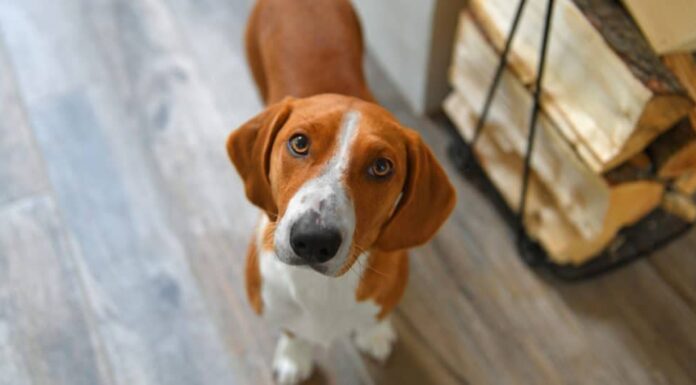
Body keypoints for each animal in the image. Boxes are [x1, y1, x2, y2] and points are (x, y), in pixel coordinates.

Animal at [227, 1, 456, 382]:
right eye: (299, 143)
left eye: (381, 167)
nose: (312, 240)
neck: (321, 289)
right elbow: (291, 329)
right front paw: (294, 355)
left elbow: (376, 316)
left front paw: (374, 334)